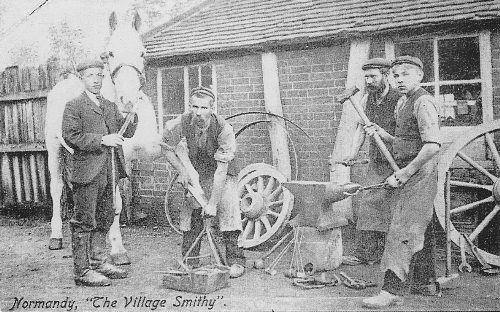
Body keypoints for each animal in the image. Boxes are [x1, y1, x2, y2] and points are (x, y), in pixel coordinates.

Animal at [45, 8, 160, 264]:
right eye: (110, 53)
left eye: (142, 52)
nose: (128, 101)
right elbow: (115, 202)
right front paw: (117, 249)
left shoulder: (126, 157)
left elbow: (118, 199)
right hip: (54, 149)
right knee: (57, 188)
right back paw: (56, 236)